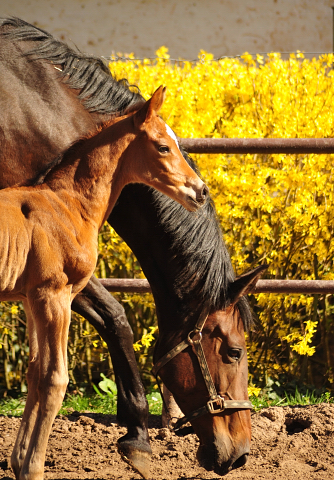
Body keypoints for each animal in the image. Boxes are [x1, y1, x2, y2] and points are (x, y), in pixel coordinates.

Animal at [3, 87, 207, 480]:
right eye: (163, 146)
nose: (201, 191)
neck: (67, 204)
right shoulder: (55, 296)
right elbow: (55, 379)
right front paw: (33, 468)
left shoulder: (31, 299)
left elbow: (35, 373)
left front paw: (19, 463)